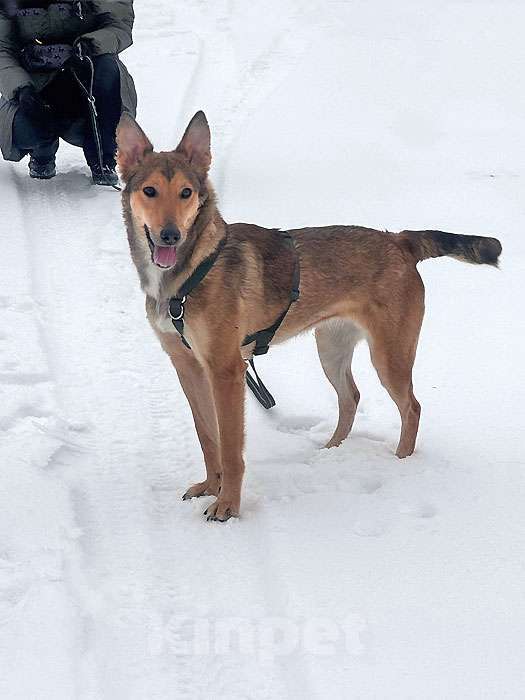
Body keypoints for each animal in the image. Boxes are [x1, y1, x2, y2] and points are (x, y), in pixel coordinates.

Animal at [116, 112, 502, 524]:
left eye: (186, 193)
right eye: (150, 191)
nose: (170, 235)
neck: (190, 273)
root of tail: (399, 240)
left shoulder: (226, 369)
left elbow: (231, 449)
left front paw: (228, 505)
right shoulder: (187, 366)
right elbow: (208, 438)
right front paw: (209, 486)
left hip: (390, 355)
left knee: (411, 407)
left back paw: (400, 463)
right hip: (331, 348)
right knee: (351, 397)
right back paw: (332, 451)